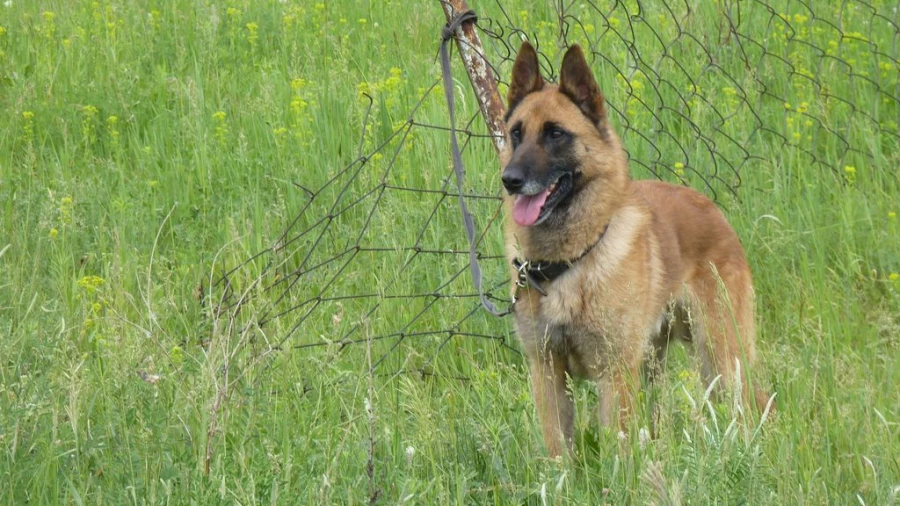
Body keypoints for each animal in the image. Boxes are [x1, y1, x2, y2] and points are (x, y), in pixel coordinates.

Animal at [500, 41, 768, 456]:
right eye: (516, 133)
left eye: (555, 134)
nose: (510, 180)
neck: (570, 261)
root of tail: (711, 207)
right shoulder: (546, 372)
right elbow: (558, 451)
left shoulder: (614, 374)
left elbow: (618, 448)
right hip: (657, 363)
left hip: (721, 356)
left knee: (754, 403)